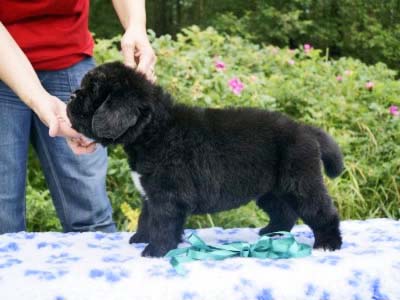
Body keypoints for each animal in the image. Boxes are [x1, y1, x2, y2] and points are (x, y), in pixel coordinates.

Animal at [66, 61, 344, 258]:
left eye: (93, 93)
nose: (70, 97)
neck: (154, 130)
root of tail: (305, 128)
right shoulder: (151, 194)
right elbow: (148, 217)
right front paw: (142, 238)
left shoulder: (167, 195)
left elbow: (162, 222)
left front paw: (155, 250)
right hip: (270, 189)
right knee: (285, 212)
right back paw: (271, 232)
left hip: (300, 183)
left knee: (322, 211)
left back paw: (328, 244)